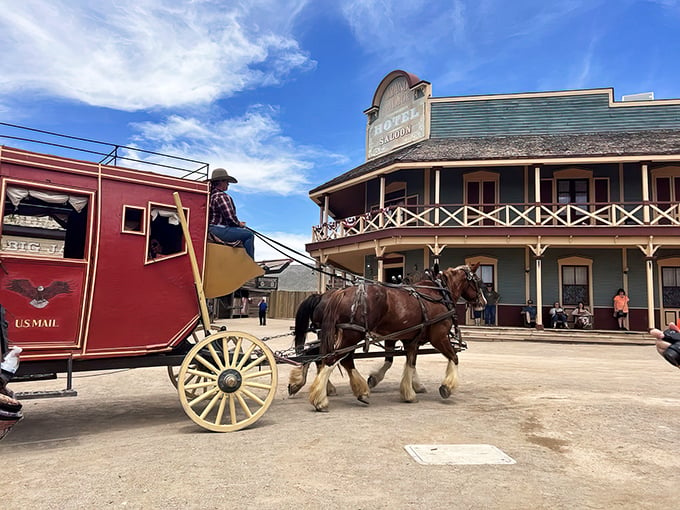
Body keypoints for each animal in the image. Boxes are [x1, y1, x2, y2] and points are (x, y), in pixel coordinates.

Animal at [308, 264, 484, 412]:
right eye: (478, 281)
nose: (483, 302)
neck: (437, 294)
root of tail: (342, 292)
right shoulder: (438, 336)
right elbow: (454, 357)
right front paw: (447, 387)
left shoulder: (409, 340)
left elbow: (408, 363)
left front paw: (409, 391)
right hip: (352, 335)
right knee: (331, 359)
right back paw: (320, 400)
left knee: (339, 360)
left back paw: (359, 391)